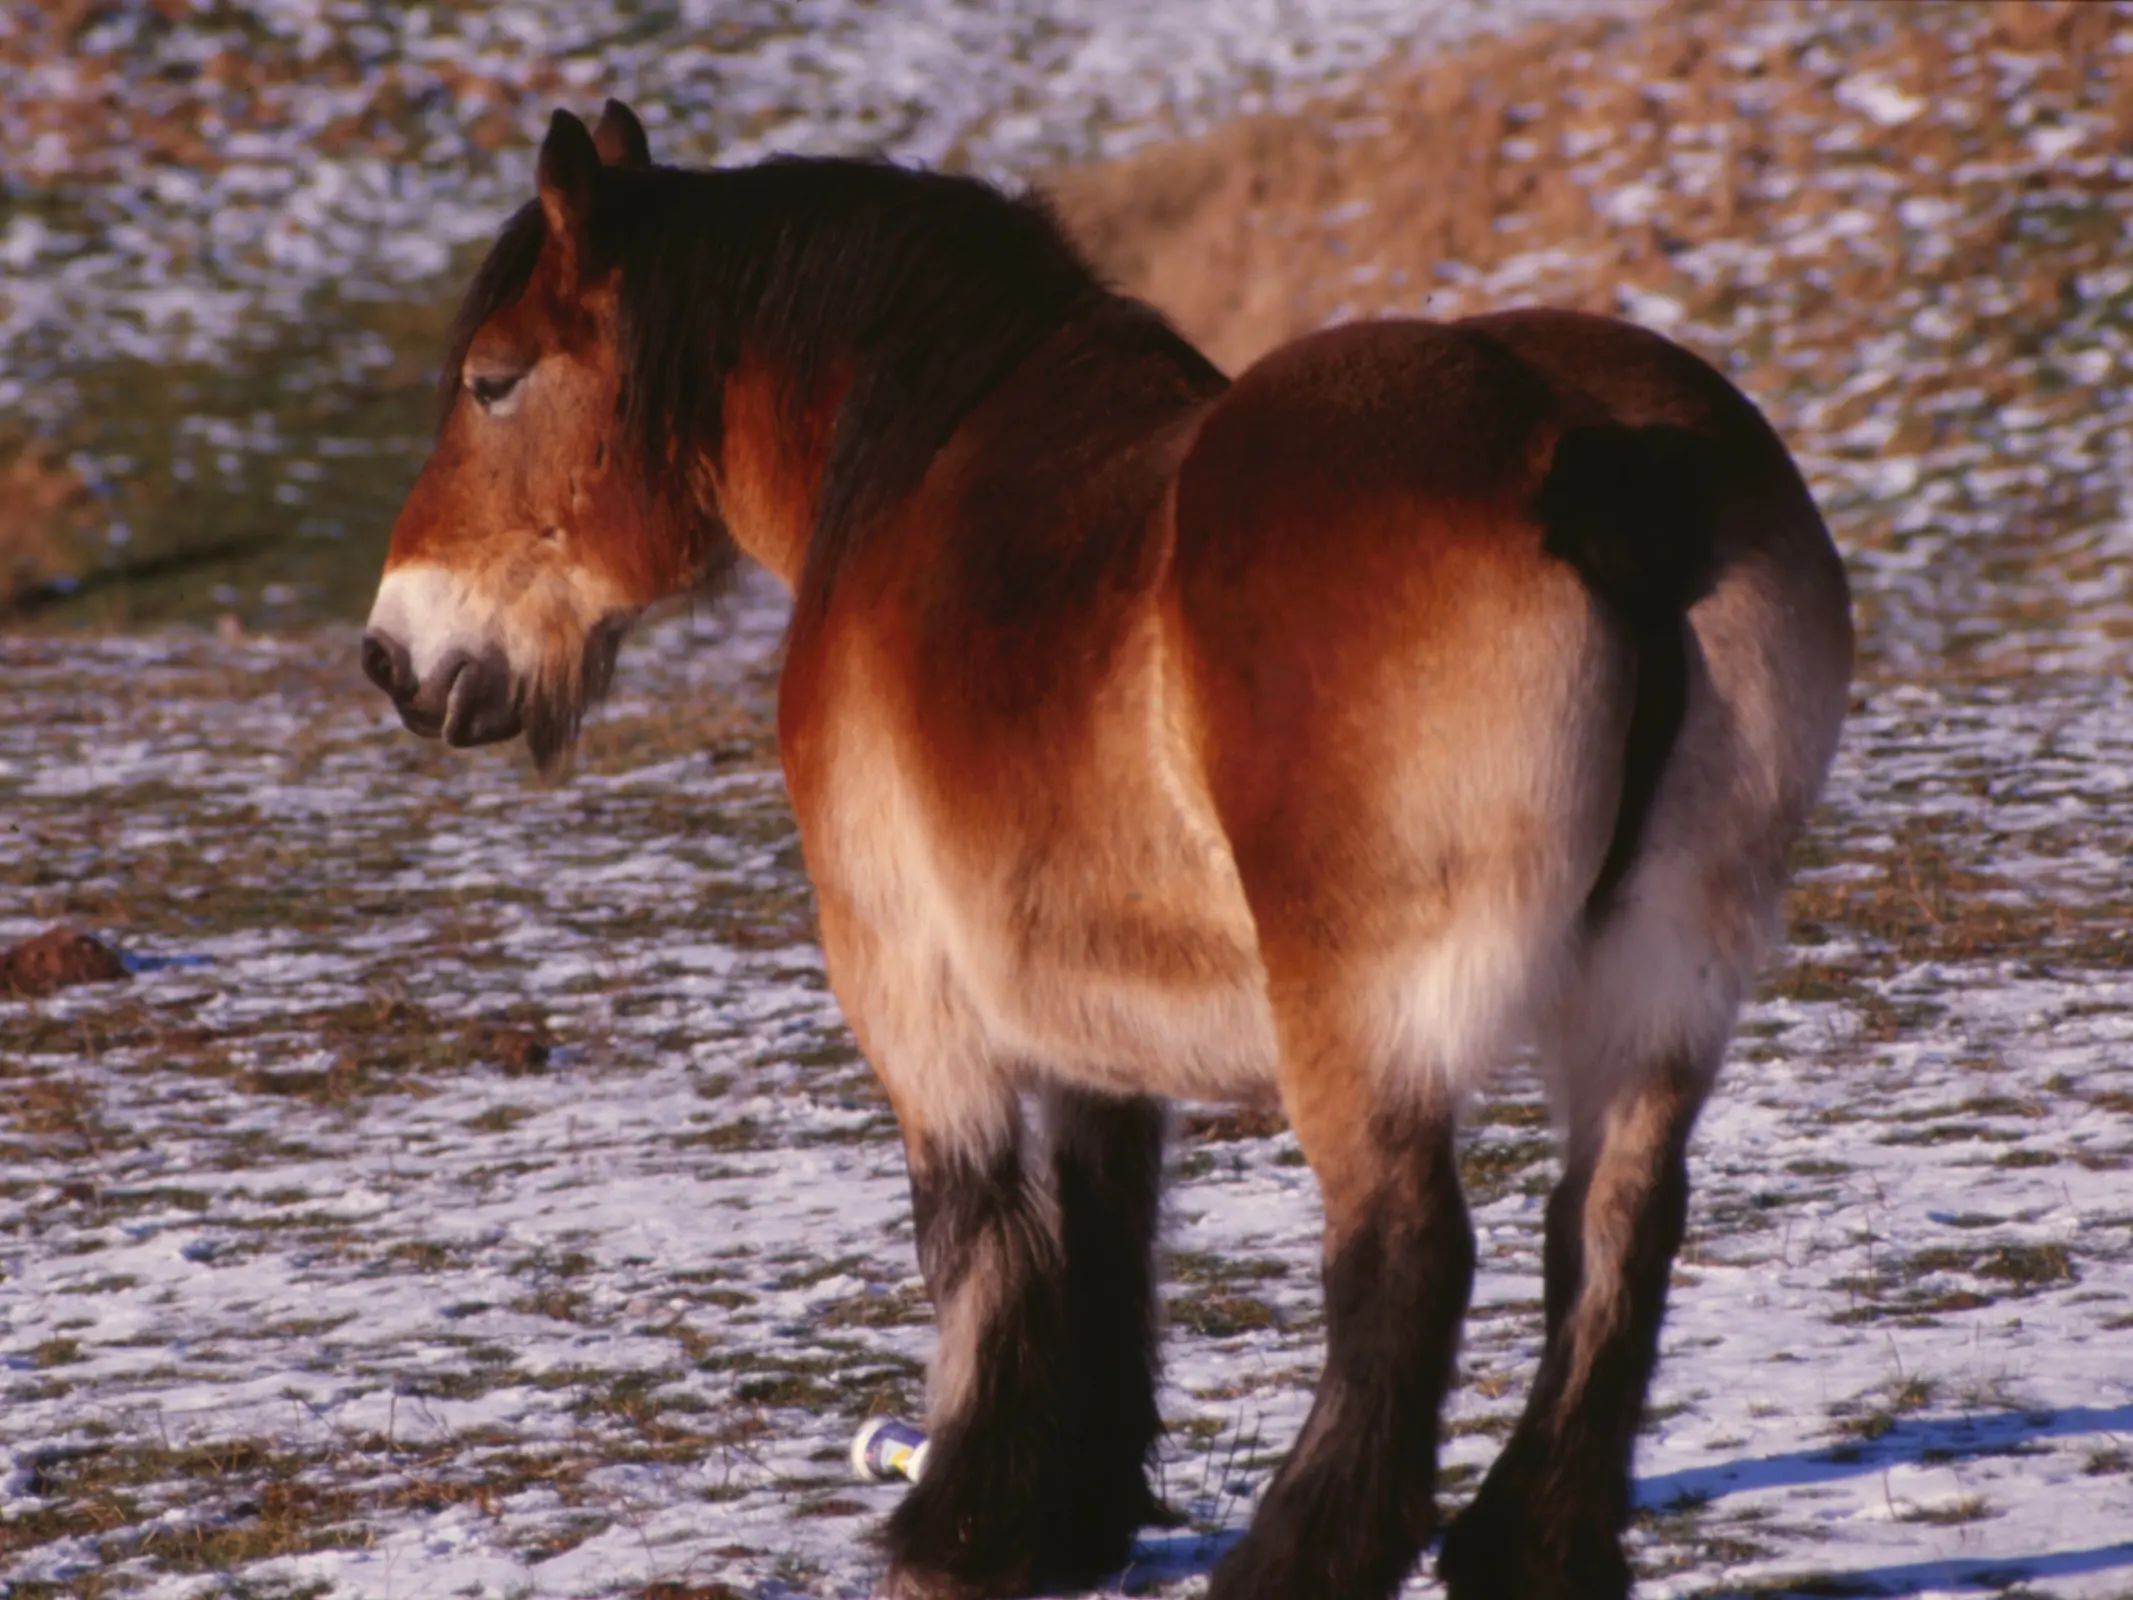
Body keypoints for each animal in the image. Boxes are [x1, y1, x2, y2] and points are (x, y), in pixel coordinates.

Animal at [362, 103, 1851, 1600]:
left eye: (493, 382)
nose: (392, 653)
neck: (913, 472)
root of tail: (1597, 460)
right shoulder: (1087, 1007)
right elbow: (1103, 1228)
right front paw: (1069, 1513)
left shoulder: (908, 983)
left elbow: (976, 1232)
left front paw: (961, 1529)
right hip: (1656, 990)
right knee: (1615, 1228)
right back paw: (1527, 1546)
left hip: (1365, 1016)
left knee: (1407, 1255)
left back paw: (1297, 1556)